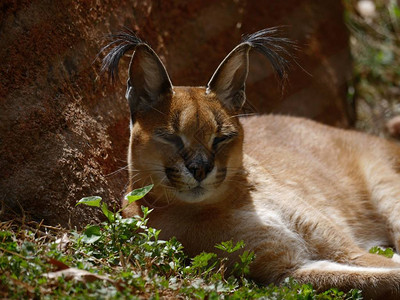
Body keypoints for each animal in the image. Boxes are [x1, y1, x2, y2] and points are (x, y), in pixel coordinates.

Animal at [102, 27, 400, 298]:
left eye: (221, 138)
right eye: (172, 138)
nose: (200, 168)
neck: (232, 201)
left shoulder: (339, 247)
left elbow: (377, 267)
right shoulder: (287, 271)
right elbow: (374, 278)